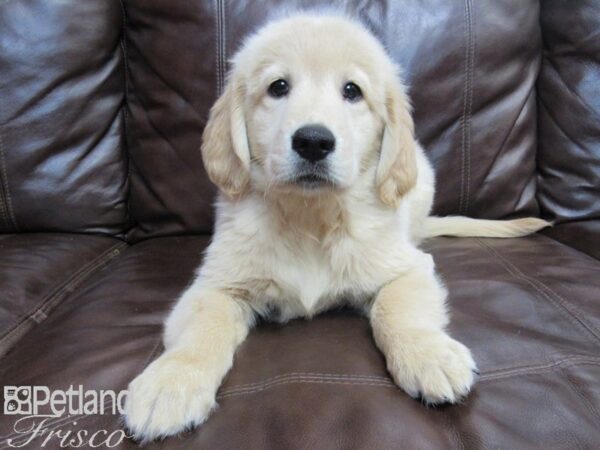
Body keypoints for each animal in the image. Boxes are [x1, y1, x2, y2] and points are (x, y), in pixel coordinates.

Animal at [123, 12, 548, 442]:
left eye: (352, 91)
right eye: (278, 86)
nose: (313, 141)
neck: (312, 217)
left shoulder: (408, 267)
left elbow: (397, 308)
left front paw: (429, 355)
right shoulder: (217, 284)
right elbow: (201, 328)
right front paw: (170, 383)